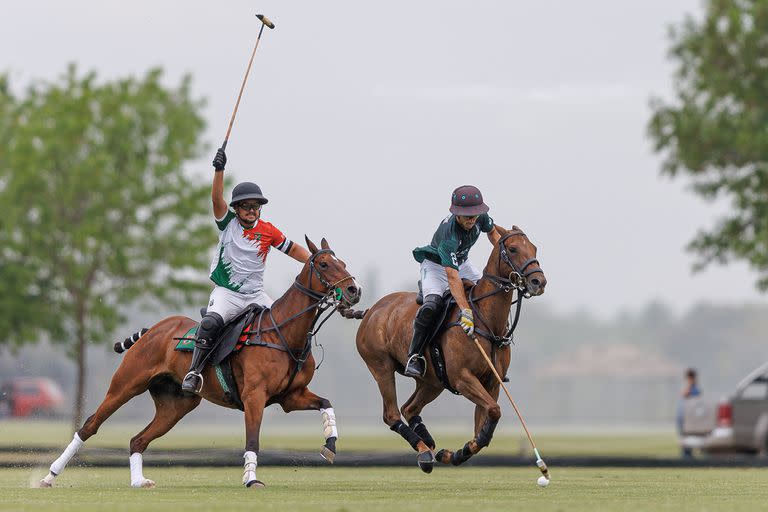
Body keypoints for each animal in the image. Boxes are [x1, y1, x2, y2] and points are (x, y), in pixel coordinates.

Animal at [42, 236, 364, 488]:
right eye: (325, 265)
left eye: (344, 263)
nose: (354, 290)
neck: (283, 333)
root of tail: (153, 329)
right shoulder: (255, 396)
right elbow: (252, 440)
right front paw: (251, 479)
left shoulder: (290, 396)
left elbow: (326, 404)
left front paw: (330, 445)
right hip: (125, 385)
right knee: (89, 426)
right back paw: (49, 475)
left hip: (177, 405)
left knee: (137, 440)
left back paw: (138, 481)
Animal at [342, 226, 544, 474]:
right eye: (513, 249)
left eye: (534, 248)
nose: (539, 281)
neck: (486, 320)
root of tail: (371, 310)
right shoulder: (462, 378)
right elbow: (494, 410)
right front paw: (452, 453)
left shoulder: (492, 382)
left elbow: (484, 425)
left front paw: (453, 454)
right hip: (381, 367)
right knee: (392, 413)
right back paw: (424, 452)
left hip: (432, 381)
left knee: (409, 408)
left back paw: (427, 445)